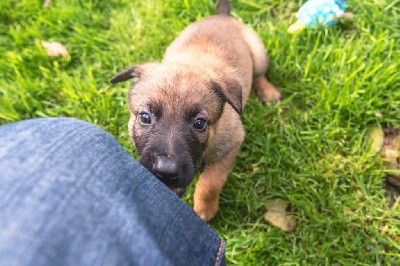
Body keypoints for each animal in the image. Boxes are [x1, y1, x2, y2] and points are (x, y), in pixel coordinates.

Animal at [110, 0, 282, 221]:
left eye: (199, 123)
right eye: (145, 117)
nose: (166, 171)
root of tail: (222, 17)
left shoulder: (229, 147)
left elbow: (210, 183)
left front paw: (204, 209)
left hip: (259, 55)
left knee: (260, 75)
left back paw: (268, 92)